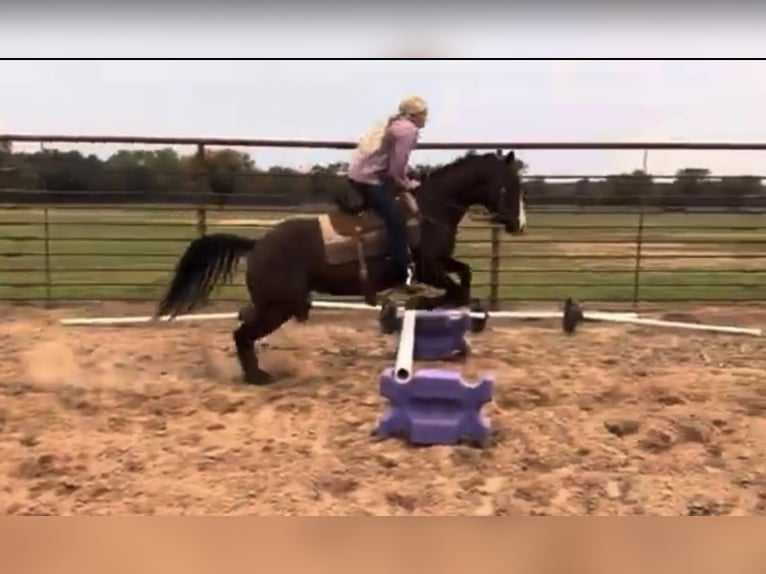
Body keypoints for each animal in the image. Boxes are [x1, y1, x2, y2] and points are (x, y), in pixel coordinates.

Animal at [156, 150, 528, 388]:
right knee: (242, 334)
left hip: (272, 303)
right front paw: (417, 303)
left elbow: (465, 277)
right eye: (512, 185)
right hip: (279, 306)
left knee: (242, 326)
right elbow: (455, 289)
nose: (519, 225)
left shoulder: (438, 263)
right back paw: (258, 378)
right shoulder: (426, 268)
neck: (429, 211)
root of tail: (257, 244)